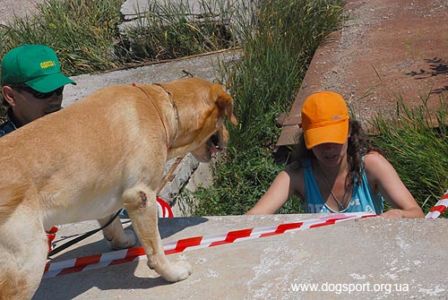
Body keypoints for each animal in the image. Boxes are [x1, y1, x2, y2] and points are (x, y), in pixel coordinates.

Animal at [0, 77, 238, 298]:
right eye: (223, 121)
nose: (229, 137)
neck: (159, 108)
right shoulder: (141, 196)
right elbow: (155, 249)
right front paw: (171, 273)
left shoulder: (106, 193)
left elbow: (111, 220)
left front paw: (120, 241)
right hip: (29, 257)